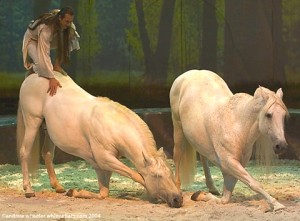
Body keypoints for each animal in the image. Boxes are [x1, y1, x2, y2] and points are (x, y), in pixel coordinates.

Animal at [18, 71, 183, 208]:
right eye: (157, 176)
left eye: (170, 172)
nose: (178, 199)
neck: (111, 126)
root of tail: (33, 76)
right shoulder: (105, 159)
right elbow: (135, 175)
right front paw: (152, 194)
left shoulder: (102, 165)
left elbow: (103, 193)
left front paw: (74, 192)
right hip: (32, 122)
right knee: (24, 152)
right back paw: (28, 189)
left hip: (49, 132)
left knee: (47, 153)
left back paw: (58, 187)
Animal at [169, 70, 288, 212]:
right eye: (268, 115)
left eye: (283, 115)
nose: (281, 146)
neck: (237, 126)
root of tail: (188, 73)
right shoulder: (230, 163)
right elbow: (254, 184)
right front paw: (277, 205)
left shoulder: (233, 169)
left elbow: (224, 199)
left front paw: (200, 195)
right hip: (178, 128)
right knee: (177, 156)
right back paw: (177, 190)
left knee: (203, 157)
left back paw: (212, 187)